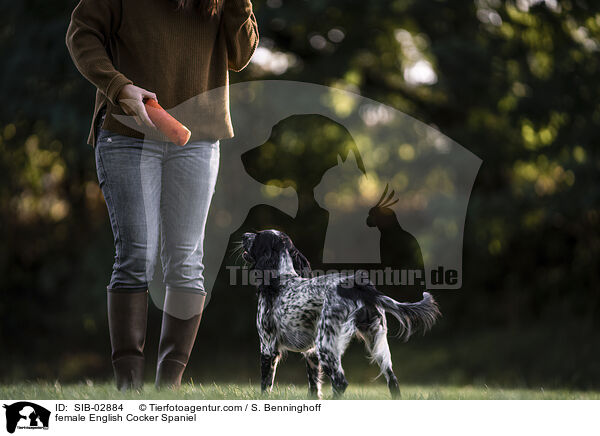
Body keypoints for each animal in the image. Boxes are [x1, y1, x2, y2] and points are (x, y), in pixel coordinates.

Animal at [239, 228, 440, 398]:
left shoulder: (268, 347)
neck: (282, 280)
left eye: (258, 236)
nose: (244, 235)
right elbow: (313, 388)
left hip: (327, 346)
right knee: (393, 381)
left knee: (340, 382)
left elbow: (265, 386)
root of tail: (359, 285)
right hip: (377, 343)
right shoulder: (311, 354)